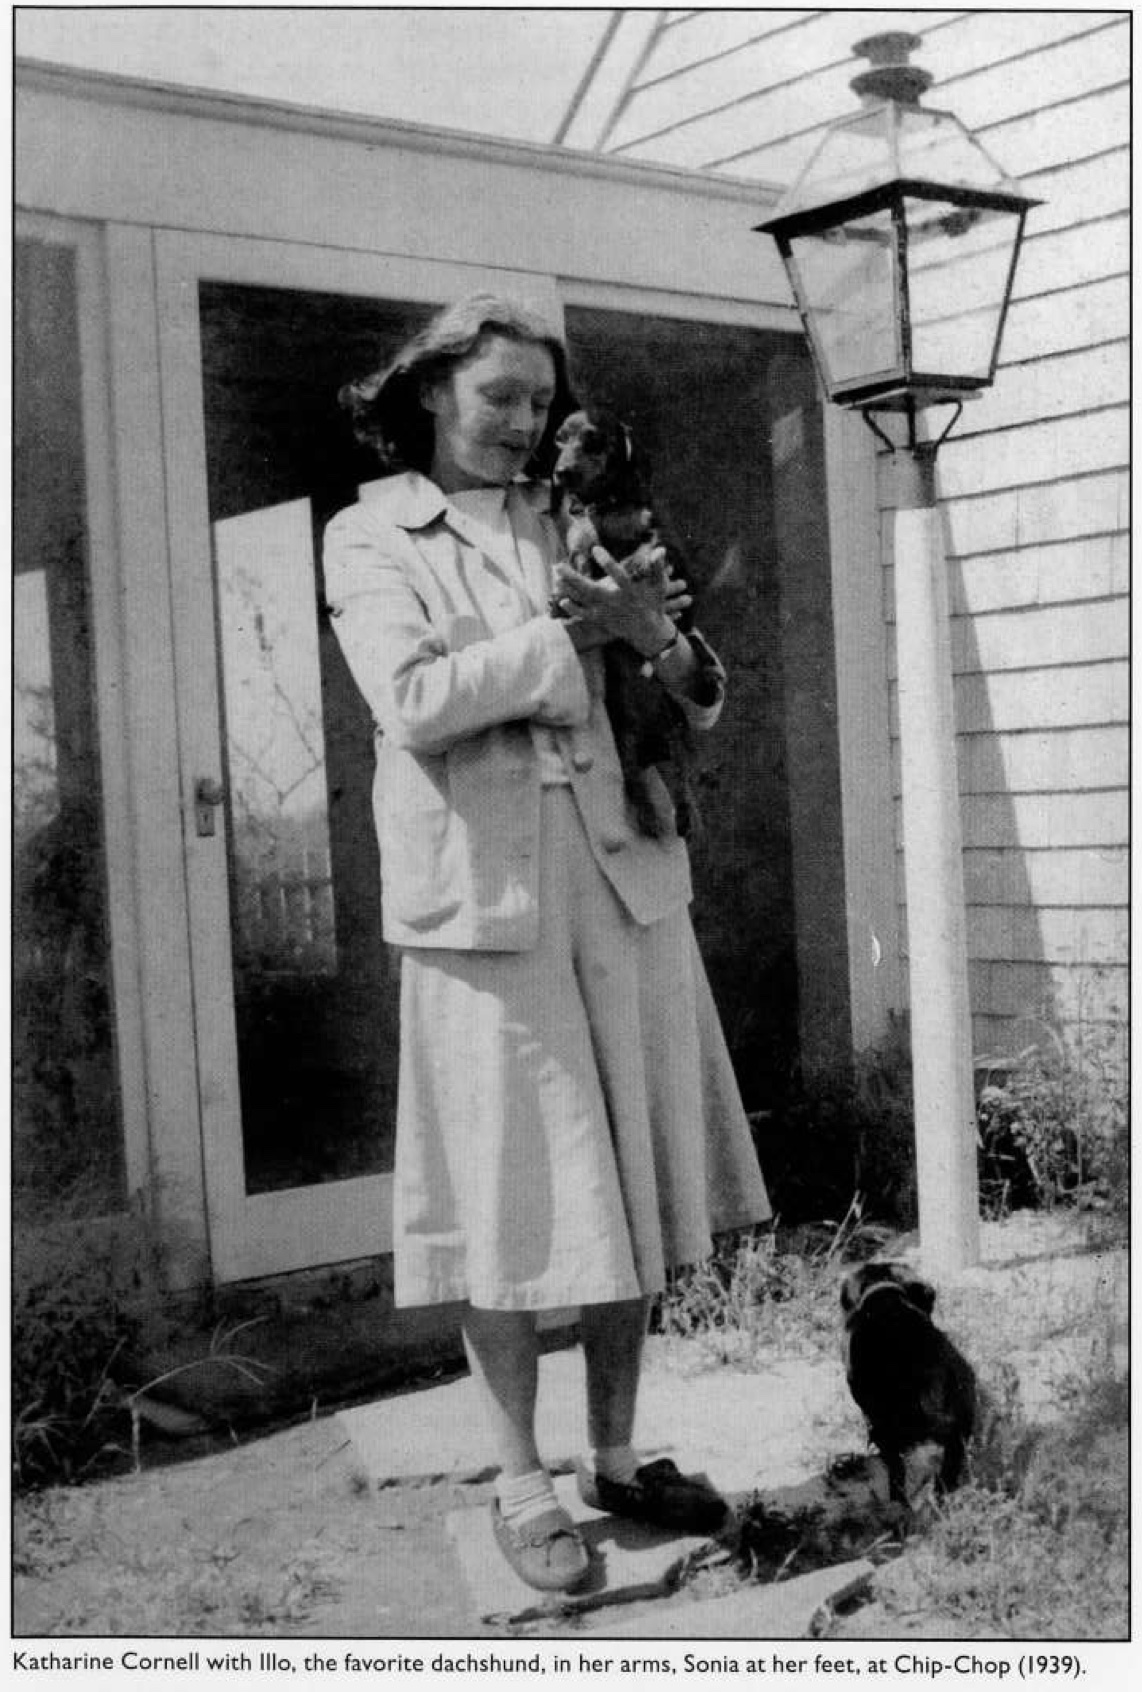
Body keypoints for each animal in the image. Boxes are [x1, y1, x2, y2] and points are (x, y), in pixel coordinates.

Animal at [550, 406, 698, 839]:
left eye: (594, 439)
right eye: (559, 440)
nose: (561, 473)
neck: (606, 506)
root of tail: (653, 745)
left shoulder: (659, 536)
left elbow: (648, 548)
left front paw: (634, 563)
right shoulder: (581, 546)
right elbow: (577, 564)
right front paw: (558, 602)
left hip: (677, 725)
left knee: (681, 774)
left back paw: (684, 815)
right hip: (625, 739)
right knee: (634, 779)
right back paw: (649, 815)